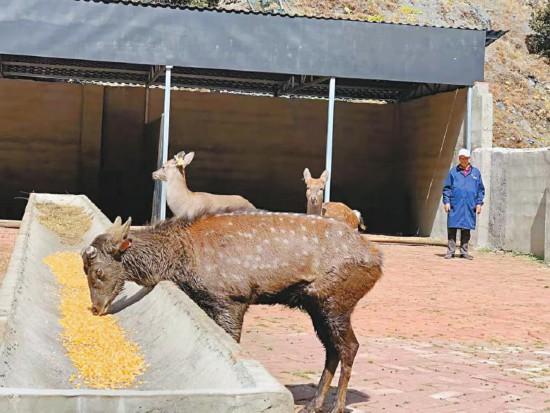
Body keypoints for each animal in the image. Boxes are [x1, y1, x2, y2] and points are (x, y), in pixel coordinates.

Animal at [82, 212, 384, 412]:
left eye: (97, 272)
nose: (96, 308)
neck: (179, 260)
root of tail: (378, 259)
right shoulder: (208, 301)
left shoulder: (232, 298)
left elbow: (232, 343)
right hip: (315, 305)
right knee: (332, 349)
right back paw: (313, 404)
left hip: (337, 300)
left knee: (350, 346)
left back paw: (337, 406)